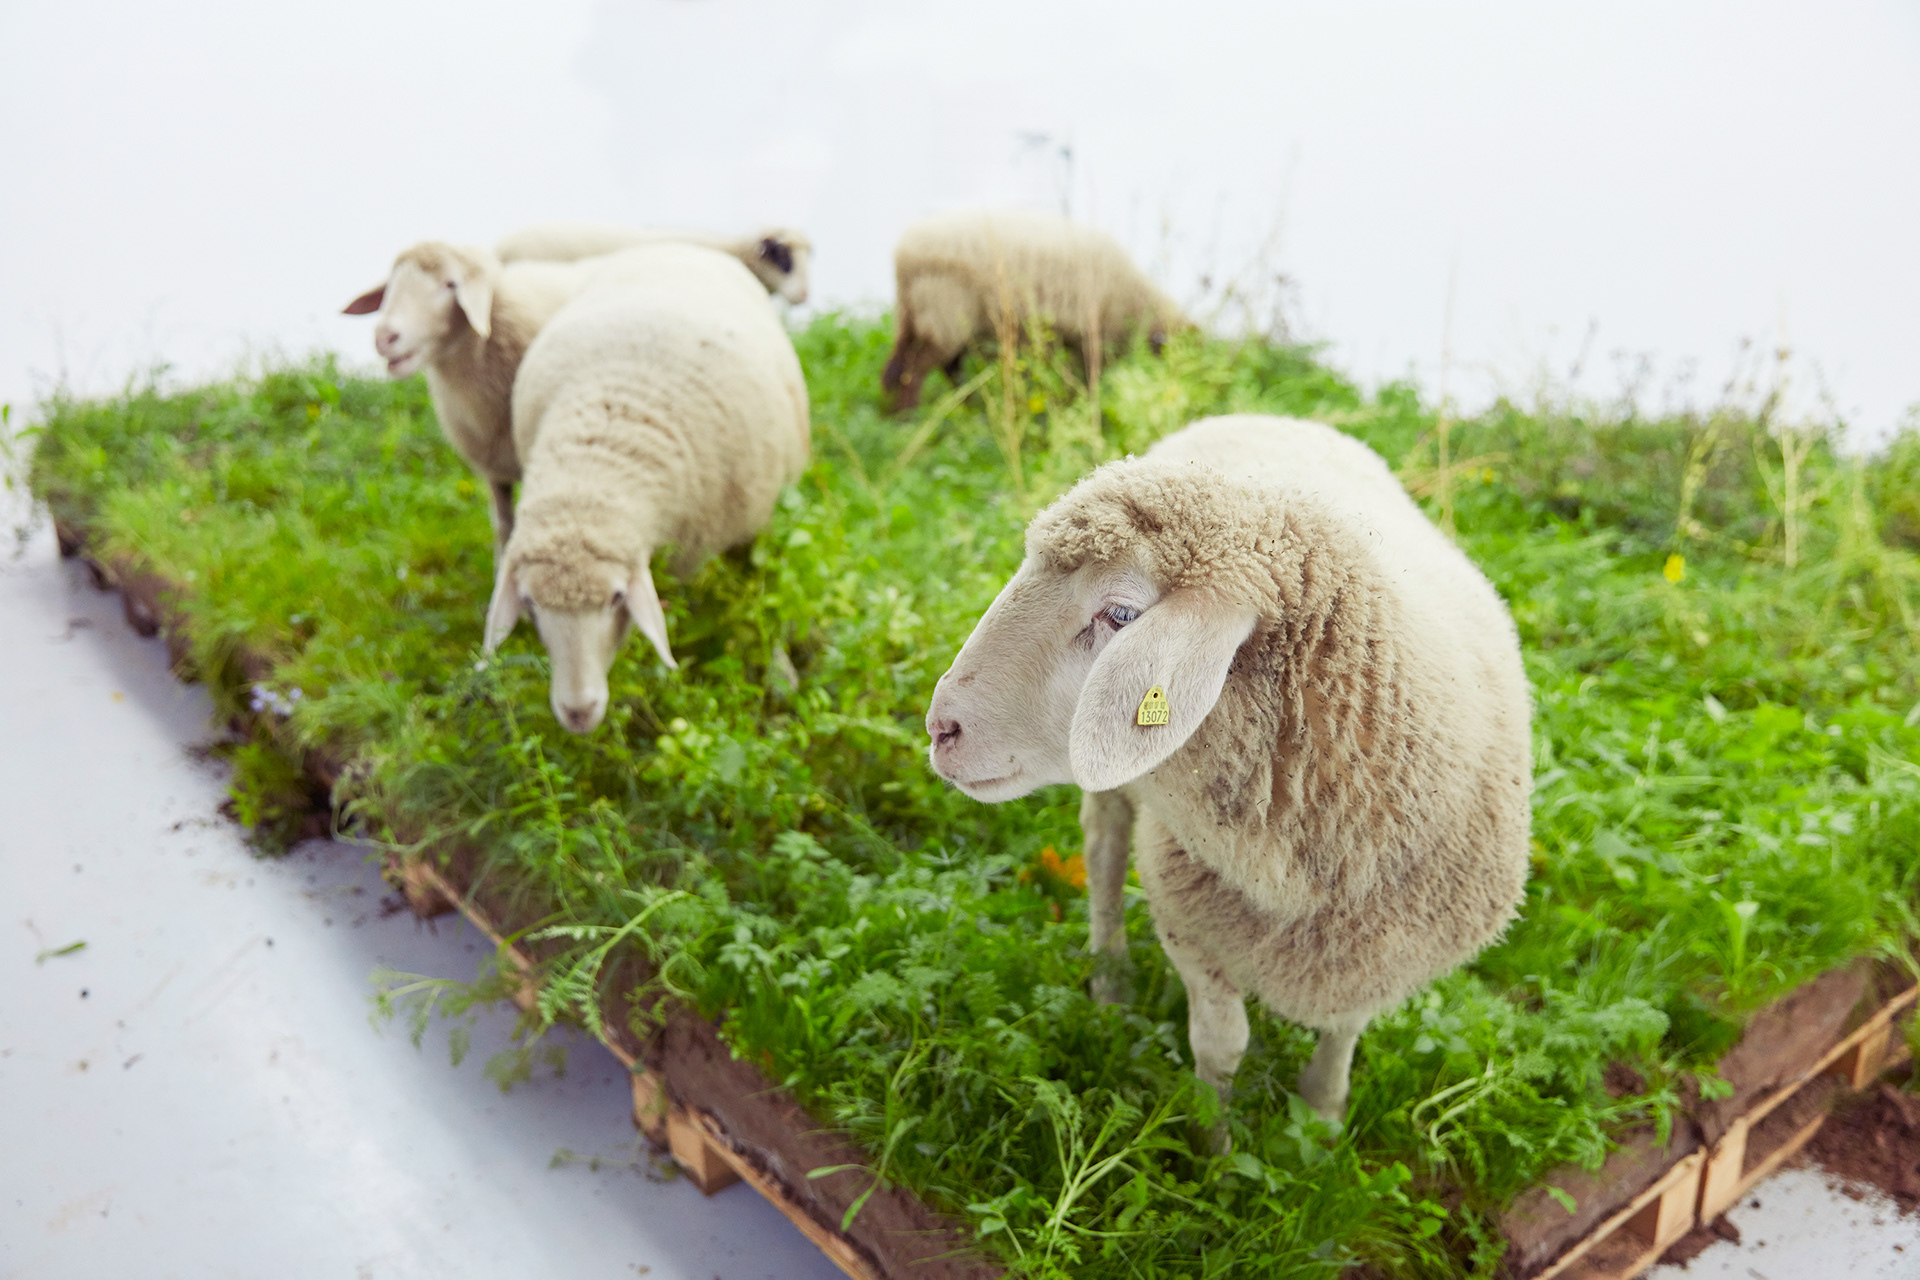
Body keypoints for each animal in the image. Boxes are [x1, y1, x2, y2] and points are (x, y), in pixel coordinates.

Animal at [881, 208, 1189, 411]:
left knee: (908, 365)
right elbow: (1089, 374)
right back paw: (910, 415)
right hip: (944, 313)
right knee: (916, 371)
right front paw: (1082, 401)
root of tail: (903, 256)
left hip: (916, 314)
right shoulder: (1090, 332)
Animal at [924, 414, 1532, 1127]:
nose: (941, 728)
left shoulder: (1376, 958)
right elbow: (1222, 1048)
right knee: (1103, 857)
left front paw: (1322, 1117)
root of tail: (1268, 415)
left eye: (1121, 615)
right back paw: (1111, 981)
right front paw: (1212, 1139)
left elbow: (1344, 1032)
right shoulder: (1192, 929)